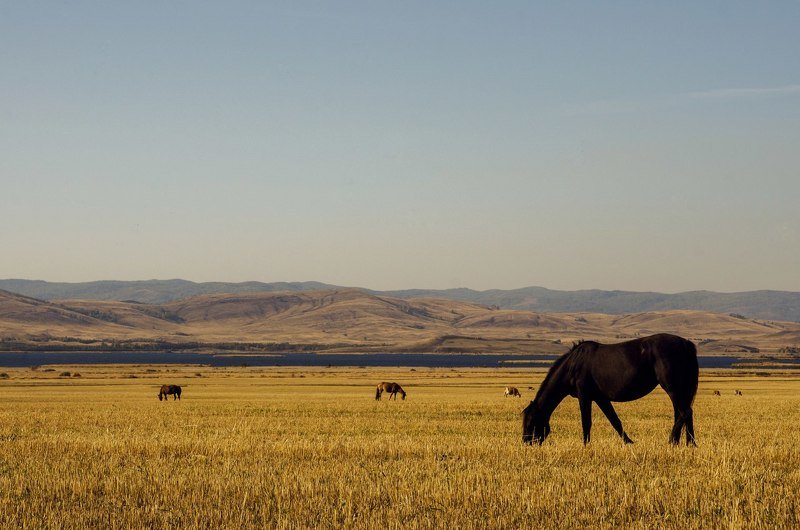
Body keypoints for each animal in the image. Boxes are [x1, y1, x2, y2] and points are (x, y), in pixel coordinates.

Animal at [522, 333, 698, 446]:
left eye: (530, 421)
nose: (525, 442)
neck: (573, 365)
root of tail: (686, 344)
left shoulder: (584, 396)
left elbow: (586, 422)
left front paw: (585, 445)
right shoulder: (601, 398)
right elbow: (615, 421)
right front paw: (629, 442)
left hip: (673, 388)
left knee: (684, 412)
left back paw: (672, 441)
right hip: (680, 388)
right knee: (683, 414)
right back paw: (689, 444)